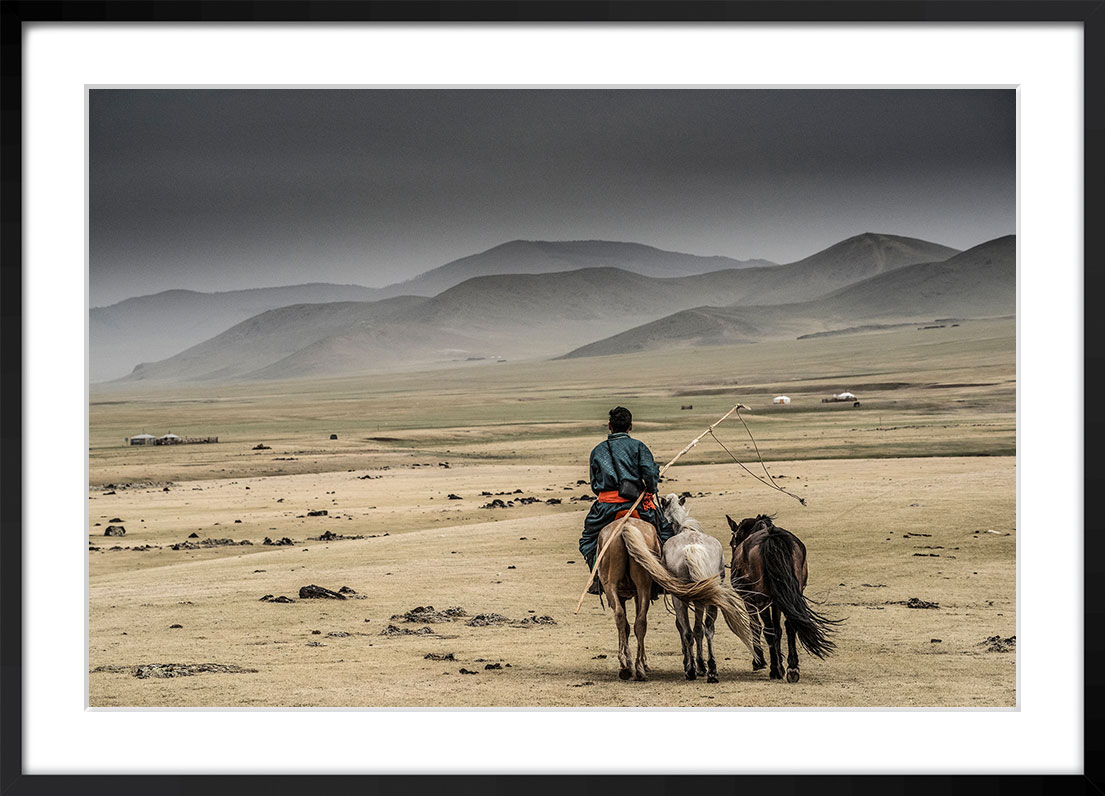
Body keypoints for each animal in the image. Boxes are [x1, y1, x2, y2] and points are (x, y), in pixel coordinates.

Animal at [595, 511, 755, 682]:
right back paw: (704, 670)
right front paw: (698, 665)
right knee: (702, 629)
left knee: (636, 621)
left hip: (638, 588)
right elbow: (695, 629)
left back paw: (633, 668)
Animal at [726, 513, 839, 683]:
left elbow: (757, 627)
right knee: (790, 624)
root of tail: (771, 537)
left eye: (732, 542)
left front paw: (760, 661)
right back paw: (792, 667)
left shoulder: (750, 600)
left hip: (762, 600)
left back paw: (775, 669)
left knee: (768, 630)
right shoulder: (778, 601)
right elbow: (779, 629)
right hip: (789, 594)